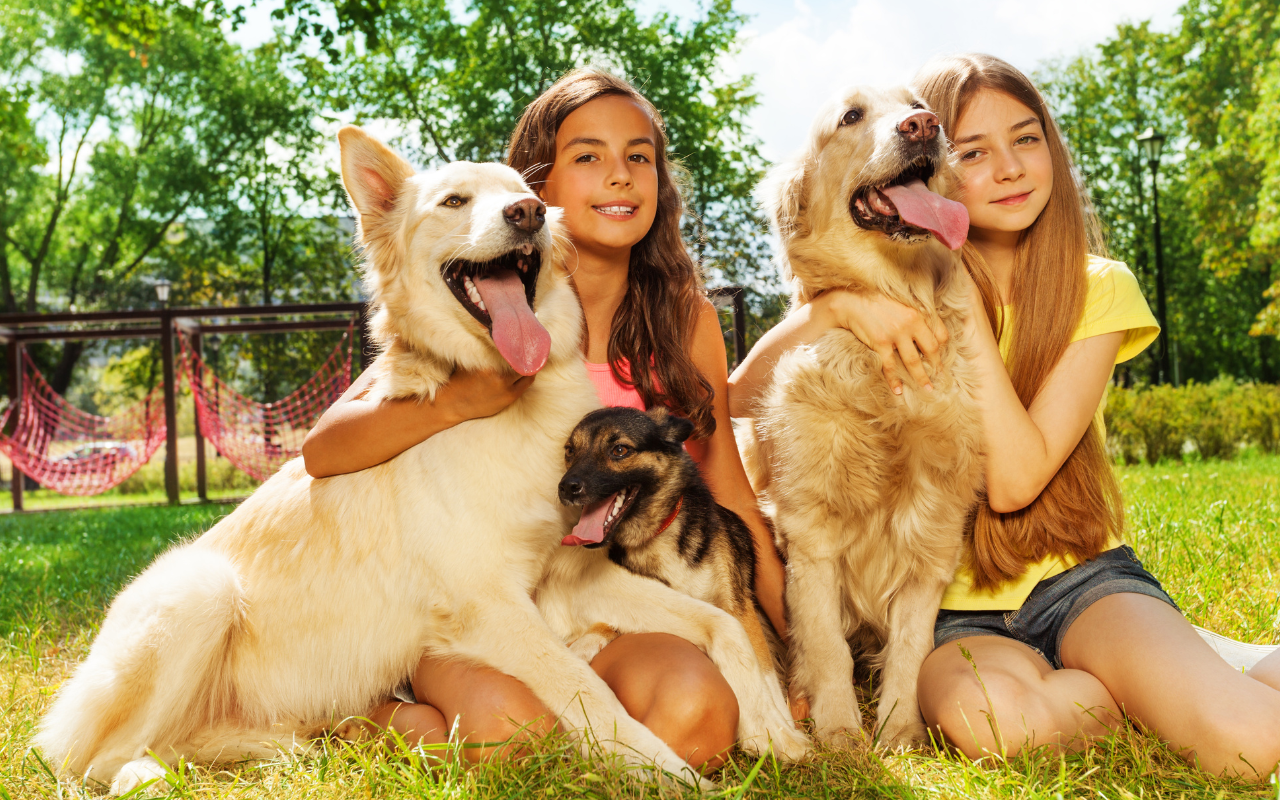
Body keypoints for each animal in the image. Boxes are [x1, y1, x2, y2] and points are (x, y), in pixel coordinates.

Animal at [558, 404, 768, 665]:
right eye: (570, 450)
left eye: (620, 450)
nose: (566, 488)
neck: (655, 537)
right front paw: (582, 645)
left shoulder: (741, 610)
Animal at [747, 87, 983, 747]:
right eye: (850, 117)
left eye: (917, 102)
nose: (924, 126)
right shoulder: (809, 535)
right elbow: (827, 646)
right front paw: (840, 734)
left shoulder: (934, 534)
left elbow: (911, 647)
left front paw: (899, 732)